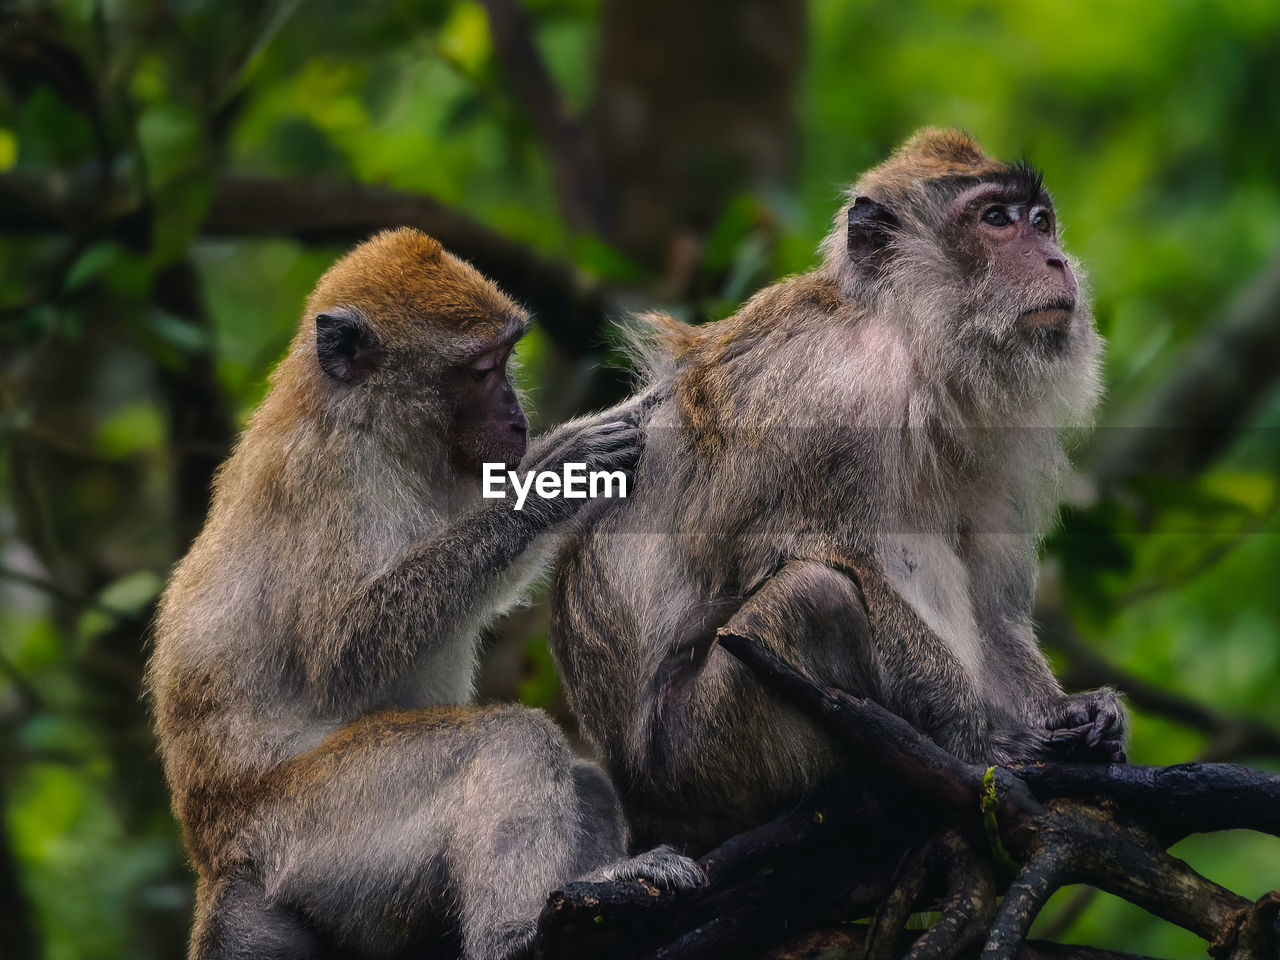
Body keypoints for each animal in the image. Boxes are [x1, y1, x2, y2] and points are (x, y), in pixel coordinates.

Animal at [146, 229, 706, 960]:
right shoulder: (331, 476)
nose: (515, 413)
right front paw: (555, 476)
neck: (369, 423)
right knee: (506, 739)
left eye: (508, 358)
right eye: (481, 369)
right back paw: (517, 933)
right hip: (312, 831)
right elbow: (343, 651)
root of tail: (219, 855)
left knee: (575, 779)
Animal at [550, 129, 1131, 855]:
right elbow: (803, 553)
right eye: (996, 219)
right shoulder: (823, 395)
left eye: (1041, 221)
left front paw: (1070, 712)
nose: (1054, 259)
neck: (906, 342)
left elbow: (991, 606)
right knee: (814, 594)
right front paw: (976, 737)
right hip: (701, 756)